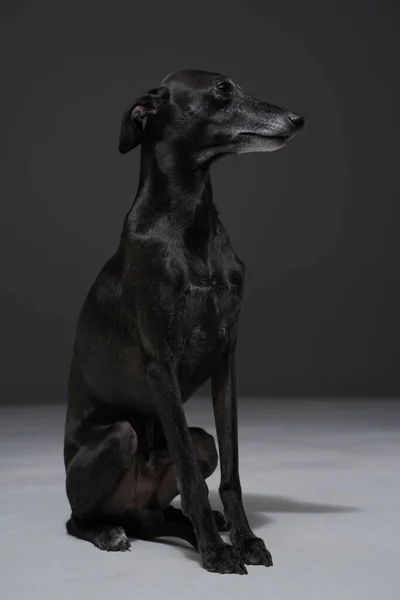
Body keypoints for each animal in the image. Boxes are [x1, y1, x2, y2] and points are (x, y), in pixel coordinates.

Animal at [64, 68, 304, 576]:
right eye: (221, 91)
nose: (298, 119)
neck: (188, 222)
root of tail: (132, 513)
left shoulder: (227, 358)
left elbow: (230, 472)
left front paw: (244, 538)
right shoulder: (161, 366)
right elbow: (194, 482)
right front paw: (217, 551)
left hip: (198, 444)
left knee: (166, 510)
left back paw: (200, 527)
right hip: (116, 440)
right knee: (78, 516)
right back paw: (112, 532)